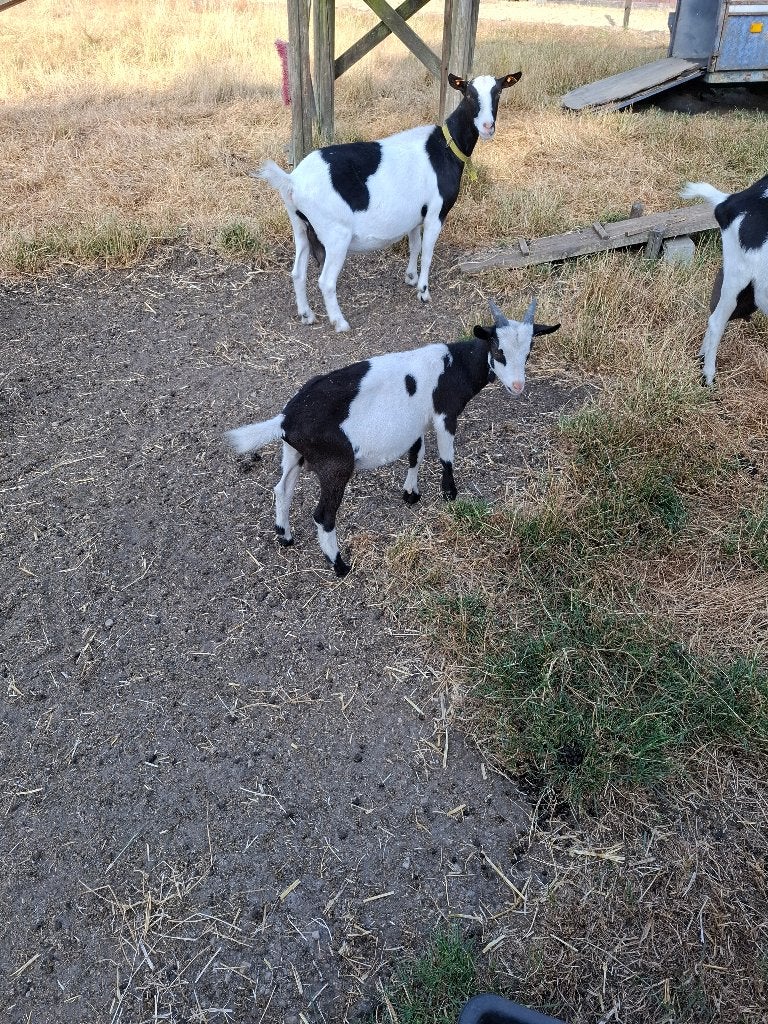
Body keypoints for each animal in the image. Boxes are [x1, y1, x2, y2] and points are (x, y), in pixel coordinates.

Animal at [226, 298, 560, 576]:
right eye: (498, 351)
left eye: (528, 353)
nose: (517, 387)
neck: (454, 364)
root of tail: (286, 419)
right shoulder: (445, 413)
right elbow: (446, 456)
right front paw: (450, 494)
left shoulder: (416, 423)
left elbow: (416, 454)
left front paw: (411, 493)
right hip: (335, 465)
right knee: (323, 516)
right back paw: (340, 565)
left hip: (294, 453)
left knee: (282, 489)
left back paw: (285, 536)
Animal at [257, 72, 522, 333]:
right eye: (468, 94)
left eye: (498, 92)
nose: (487, 126)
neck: (445, 147)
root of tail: (292, 181)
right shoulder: (436, 212)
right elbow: (427, 251)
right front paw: (423, 292)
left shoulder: (416, 214)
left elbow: (415, 245)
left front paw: (410, 278)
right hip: (335, 235)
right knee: (326, 281)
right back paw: (340, 323)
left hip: (300, 226)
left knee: (297, 273)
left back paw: (306, 315)